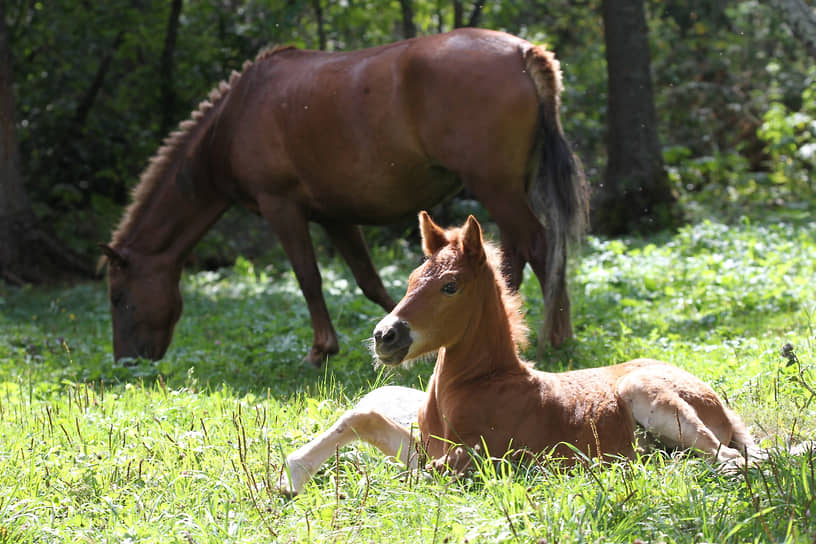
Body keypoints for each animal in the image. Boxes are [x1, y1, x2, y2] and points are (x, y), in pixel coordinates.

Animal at [100, 28, 588, 366]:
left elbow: (309, 278)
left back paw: (554, 338)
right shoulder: (335, 216)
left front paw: (321, 350)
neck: (235, 117)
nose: (126, 361)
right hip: (507, 188)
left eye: (118, 297)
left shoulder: (282, 208)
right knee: (515, 254)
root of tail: (524, 52)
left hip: (496, 187)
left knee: (539, 247)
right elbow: (369, 281)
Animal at [278, 212, 760, 498]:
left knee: (732, 459)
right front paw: (291, 477)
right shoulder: (426, 448)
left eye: (450, 286)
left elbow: (414, 477)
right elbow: (364, 419)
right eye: (414, 278)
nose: (385, 336)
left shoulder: (477, 460)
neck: (479, 384)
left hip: (649, 393)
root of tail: (718, 402)